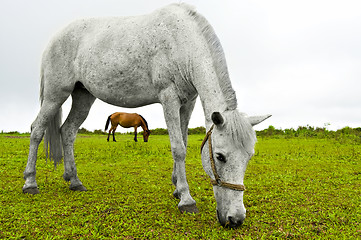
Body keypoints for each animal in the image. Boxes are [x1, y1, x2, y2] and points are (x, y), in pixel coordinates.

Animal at [22, 4, 268, 229]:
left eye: (249, 157)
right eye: (220, 157)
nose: (236, 219)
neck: (182, 41)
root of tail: (55, 38)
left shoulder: (187, 103)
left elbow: (184, 142)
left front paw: (177, 189)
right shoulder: (169, 98)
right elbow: (178, 148)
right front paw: (186, 200)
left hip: (83, 96)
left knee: (68, 131)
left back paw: (74, 181)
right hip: (55, 95)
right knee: (37, 130)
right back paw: (30, 183)